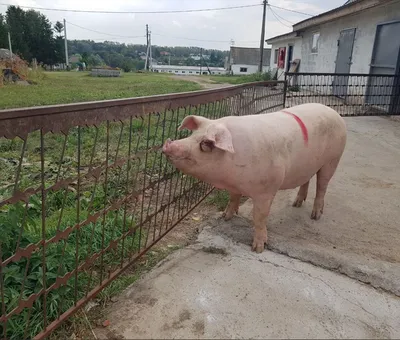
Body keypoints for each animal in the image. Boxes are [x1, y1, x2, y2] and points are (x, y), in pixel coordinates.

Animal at [162, 103, 346, 252]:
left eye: (206, 144)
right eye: (192, 135)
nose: (168, 144)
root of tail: (334, 112)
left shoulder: (266, 189)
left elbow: (259, 216)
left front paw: (258, 248)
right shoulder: (234, 186)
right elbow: (233, 198)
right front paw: (225, 216)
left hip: (333, 159)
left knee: (322, 185)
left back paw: (315, 216)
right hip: (307, 165)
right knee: (306, 181)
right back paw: (296, 204)